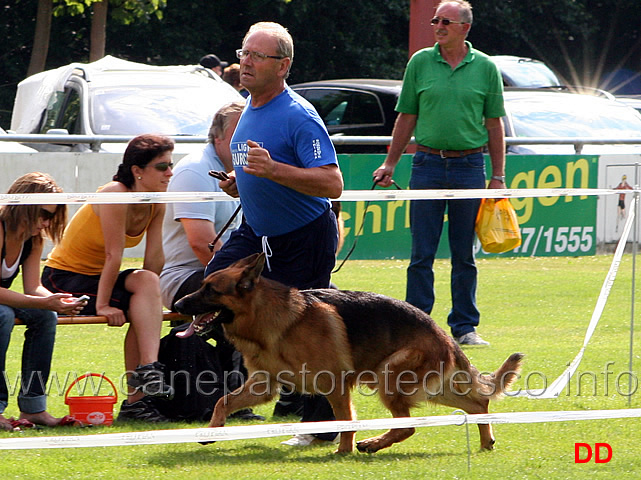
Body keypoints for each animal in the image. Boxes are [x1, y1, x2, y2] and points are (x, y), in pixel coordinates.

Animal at [172, 251, 524, 454]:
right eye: (202, 285)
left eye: (210, 290)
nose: (177, 303)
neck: (275, 320)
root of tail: (440, 332)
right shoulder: (263, 385)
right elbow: (223, 400)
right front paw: (212, 431)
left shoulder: (335, 385)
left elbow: (345, 421)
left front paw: (344, 451)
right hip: (427, 387)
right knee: (477, 404)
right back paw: (485, 441)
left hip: (389, 378)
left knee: (408, 425)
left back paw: (371, 444)